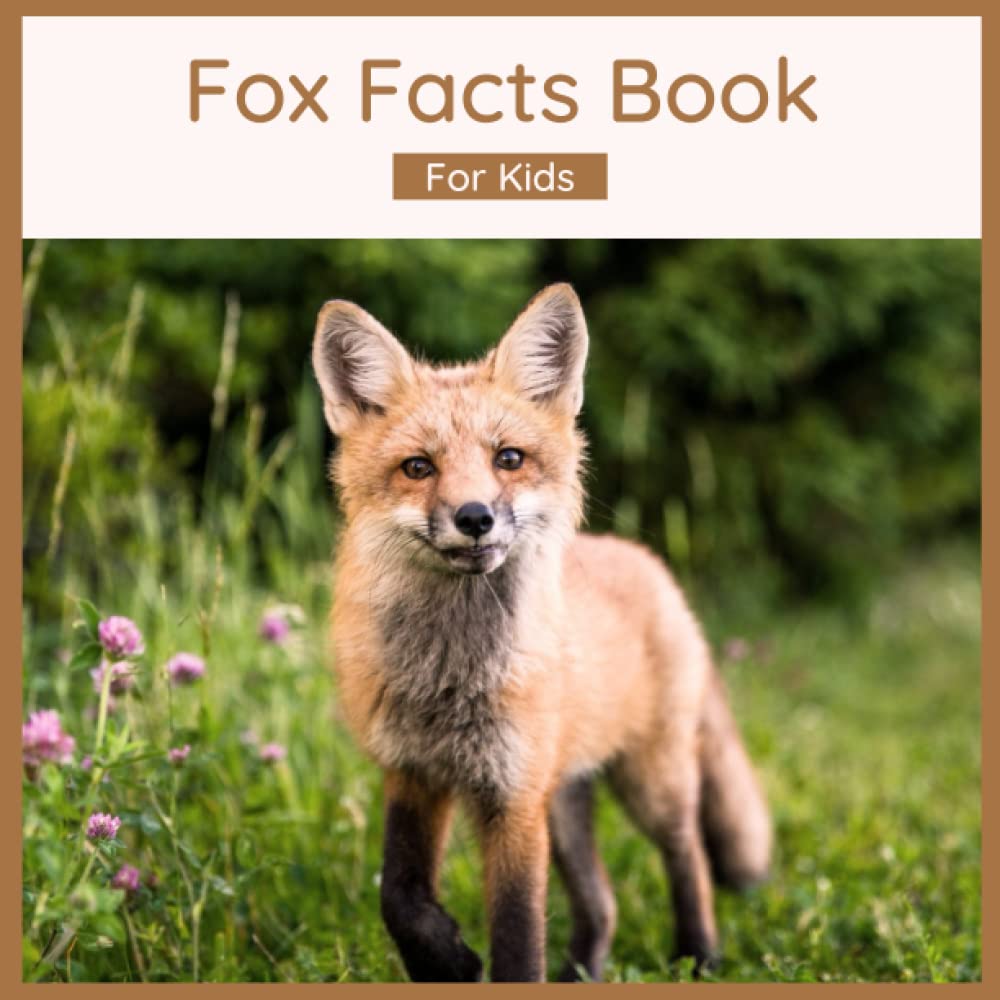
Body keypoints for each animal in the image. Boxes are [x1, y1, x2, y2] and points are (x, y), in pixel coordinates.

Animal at [310, 283, 771, 983]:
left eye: (508, 459)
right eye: (418, 467)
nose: (474, 517)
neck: (451, 679)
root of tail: (650, 564)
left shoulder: (514, 796)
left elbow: (518, 935)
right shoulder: (414, 772)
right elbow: (400, 896)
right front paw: (445, 961)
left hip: (650, 782)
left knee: (687, 852)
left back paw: (699, 954)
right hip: (566, 801)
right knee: (604, 903)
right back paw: (585, 970)